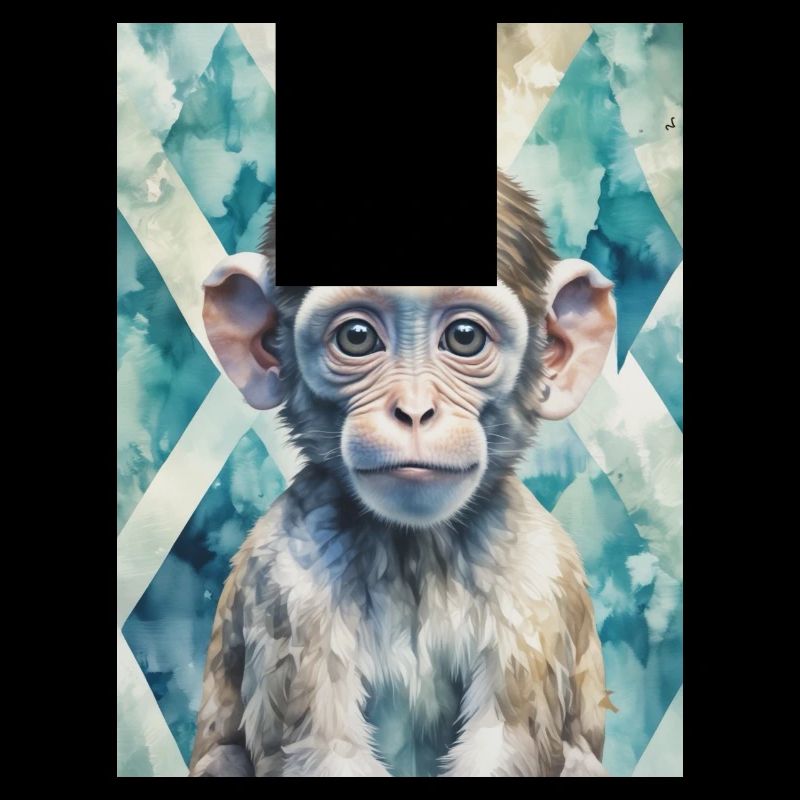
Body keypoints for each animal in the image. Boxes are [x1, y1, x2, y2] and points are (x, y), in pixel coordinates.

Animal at [188, 169, 617, 777]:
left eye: (464, 336)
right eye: (357, 337)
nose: (414, 411)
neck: (415, 549)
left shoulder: (538, 577)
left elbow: (508, 742)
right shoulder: (288, 578)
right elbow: (322, 749)